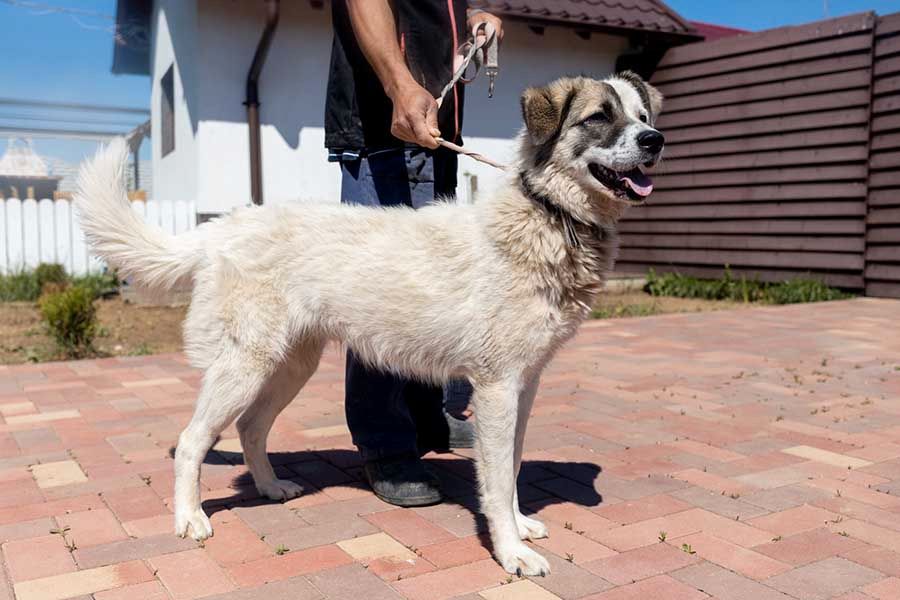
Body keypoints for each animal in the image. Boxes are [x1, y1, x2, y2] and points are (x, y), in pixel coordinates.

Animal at [75, 71, 660, 576]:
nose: (655, 140)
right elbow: (495, 481)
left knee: (251, 428)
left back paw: (271, 489)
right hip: (243, 368)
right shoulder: (496, 389)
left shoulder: (526, 384)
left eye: (642, 115)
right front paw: (510, 551)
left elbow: (512, 467)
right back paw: (190, 518)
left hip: (289, 368)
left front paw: (519, 526)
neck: (548, 216)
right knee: (192, 440)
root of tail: (223, 226)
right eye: (598, 117)